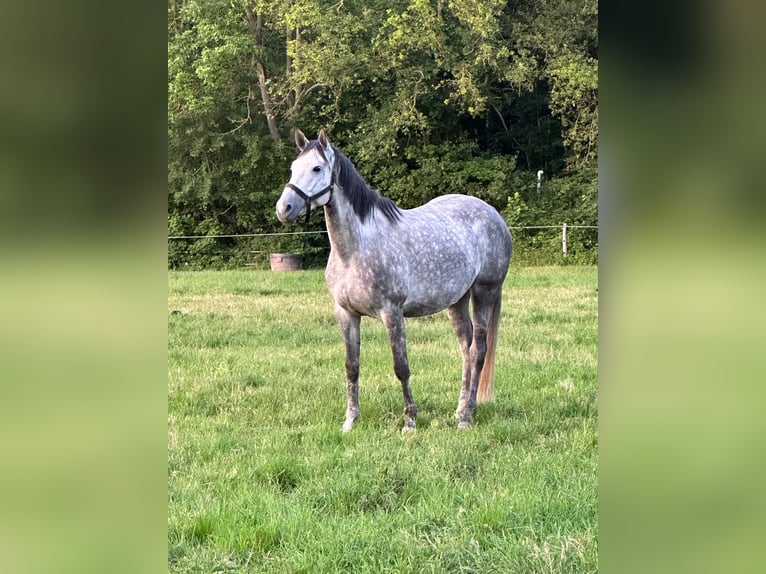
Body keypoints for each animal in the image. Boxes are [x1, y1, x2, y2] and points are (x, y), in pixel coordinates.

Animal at [276, 129, 512, 433]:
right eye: (293, 168)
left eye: (317, 168)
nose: (284, 209)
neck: (355, 249)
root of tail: (495, 217)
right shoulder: (346, 313)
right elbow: (352, 367)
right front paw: (350, 421)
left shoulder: (392, 312)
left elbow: (401, 367)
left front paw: (410, 422)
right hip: (457, 300)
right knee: (466, 350)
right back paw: (460, 410)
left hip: (485, 291)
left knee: (478, 351)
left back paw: (466, 417)